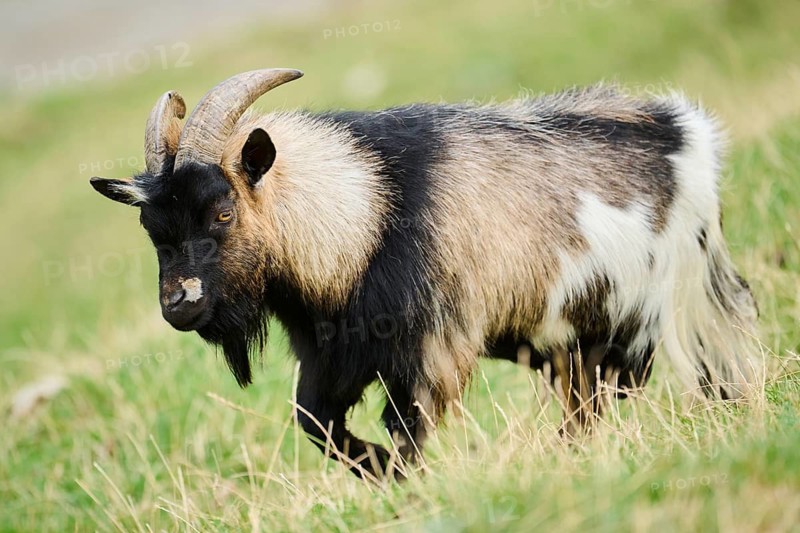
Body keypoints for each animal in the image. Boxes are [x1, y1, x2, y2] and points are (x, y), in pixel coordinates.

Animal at [90, 68, 761, 480]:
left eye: (222, 211)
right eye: (151, 228)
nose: (179, 305)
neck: (367, 209)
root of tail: (687, 134)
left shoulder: (430, 346)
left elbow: (407, 424)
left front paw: (407, 479)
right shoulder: (335, 353)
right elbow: (315, 421)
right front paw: (378, 470)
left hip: (651, 308)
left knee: (632, 381)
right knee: (591, 394)